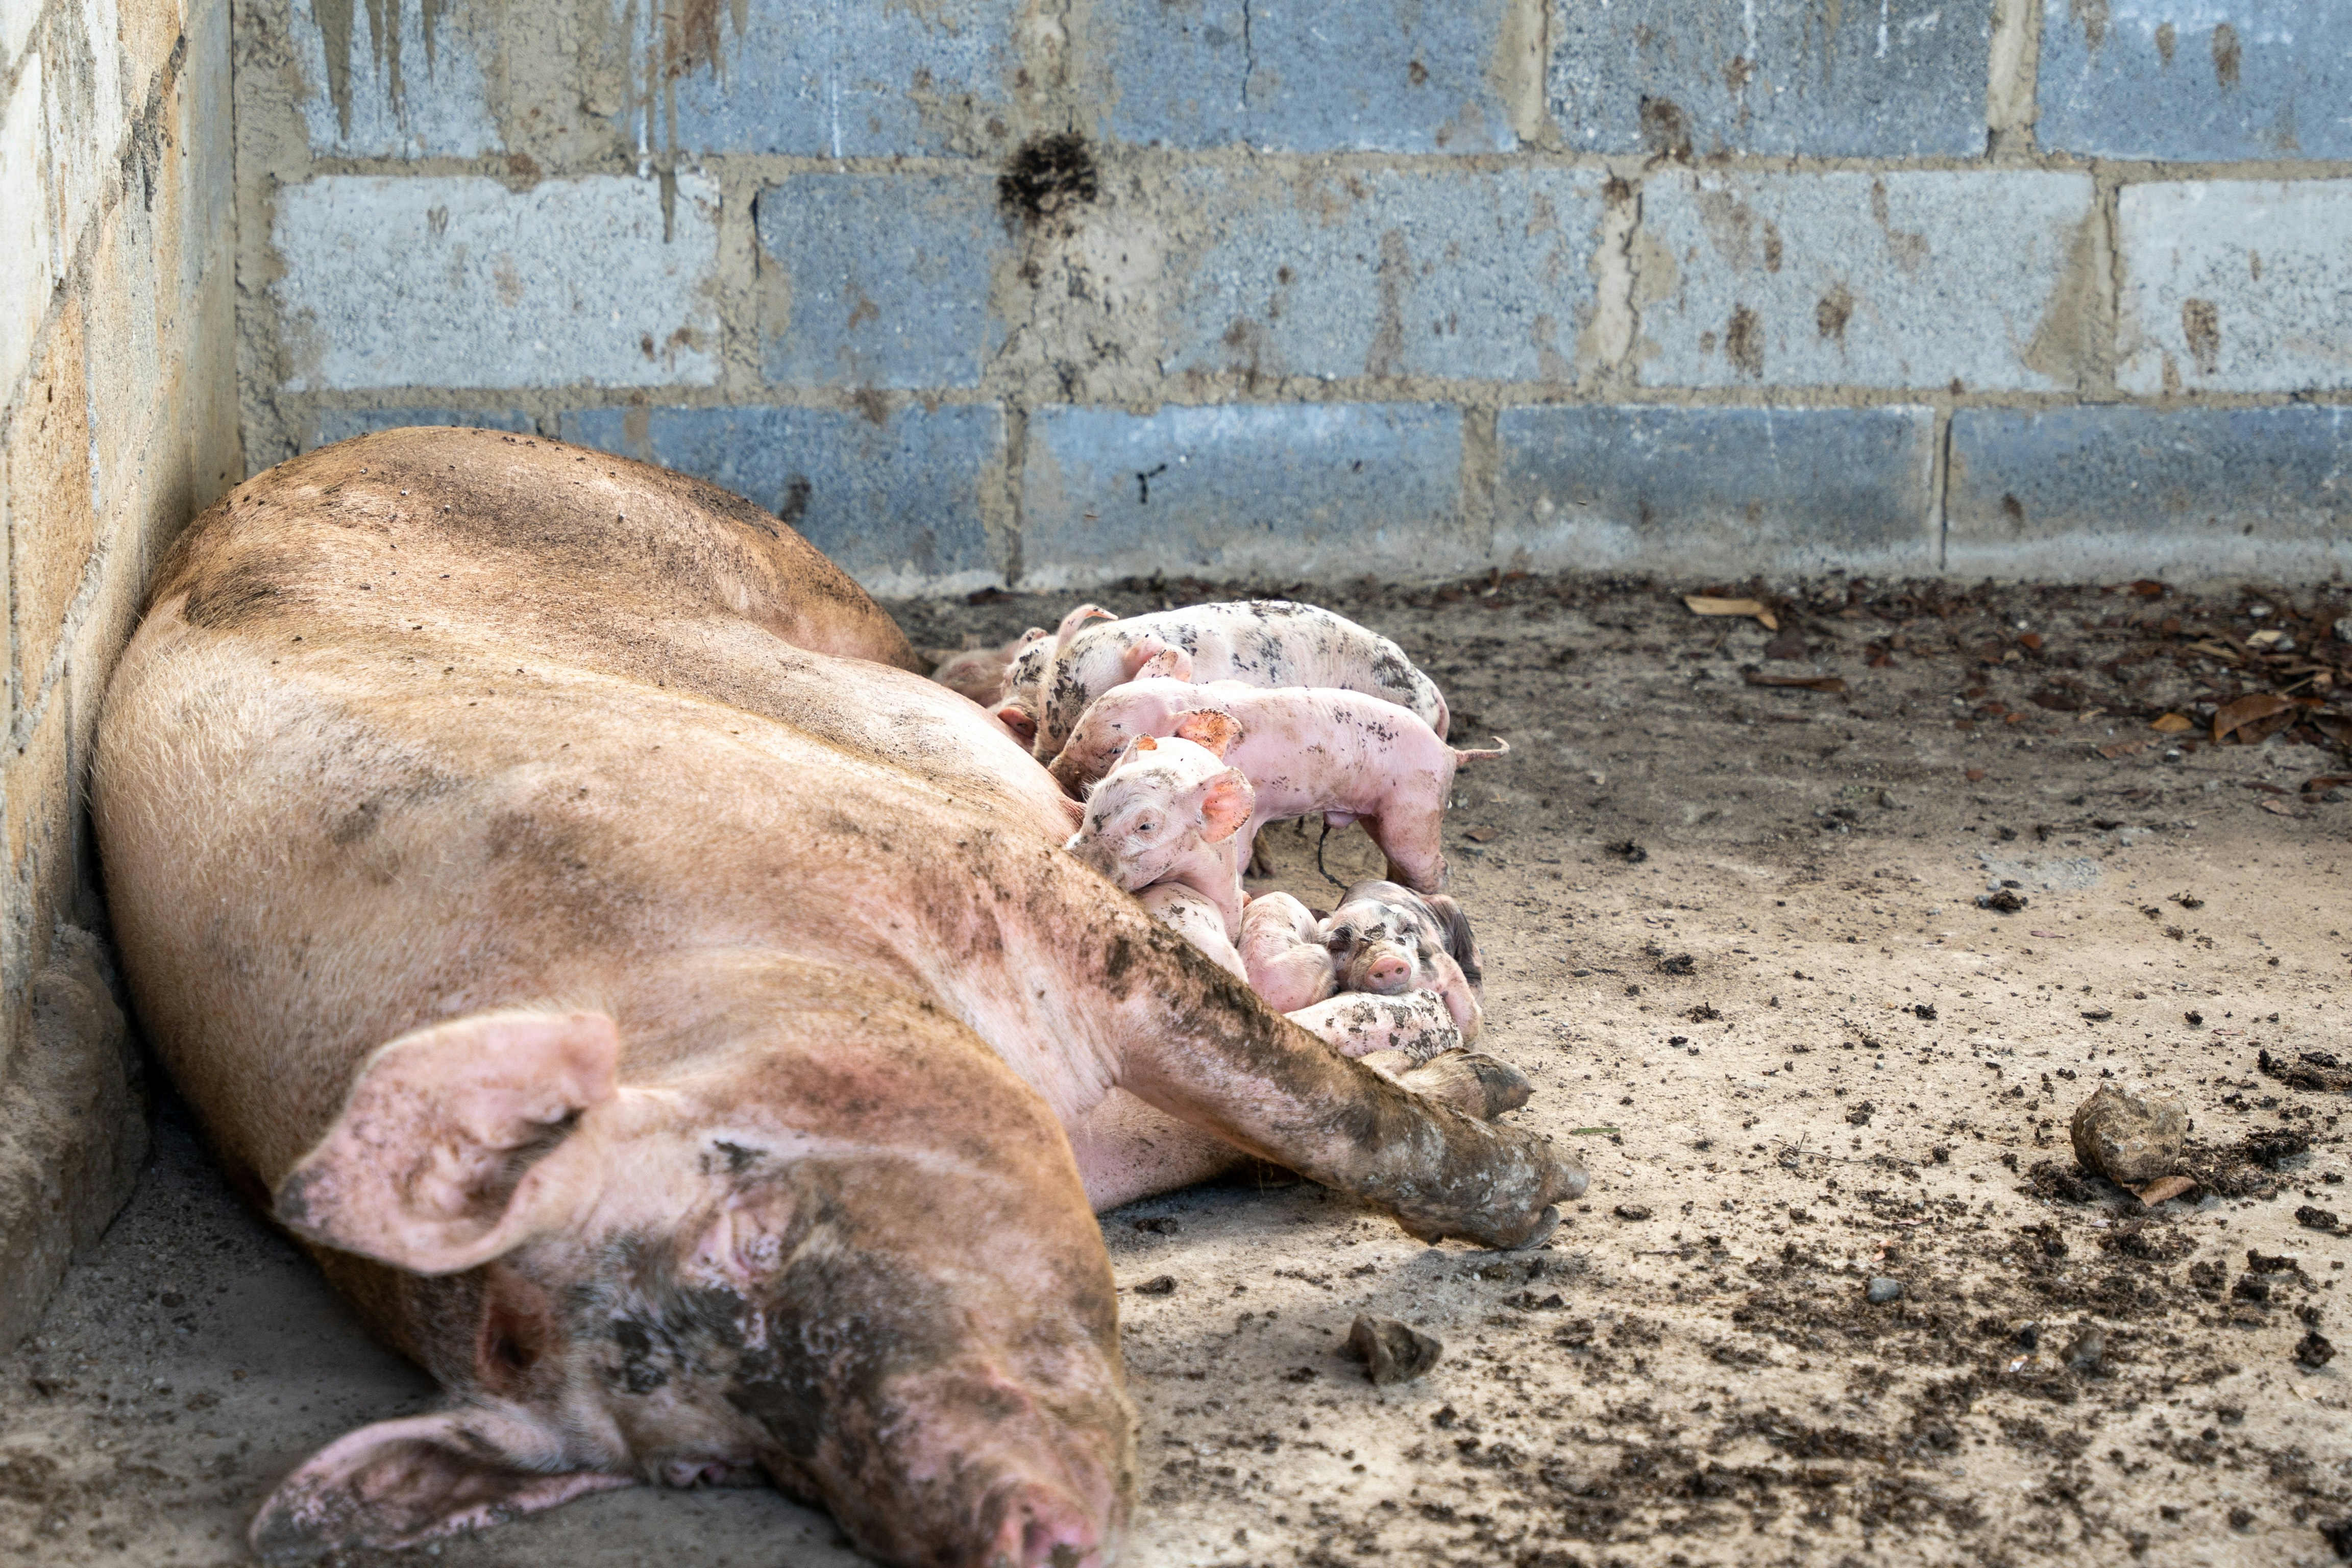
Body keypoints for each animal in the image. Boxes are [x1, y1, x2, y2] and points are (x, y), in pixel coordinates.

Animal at [1045, 652, 1508, 892]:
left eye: (1114, 746)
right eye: (1084, 720)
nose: (1054, 771)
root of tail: (1451, 753)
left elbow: (1242, 850)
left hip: (1416, 813)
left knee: (1438, 866)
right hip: (1381, 816)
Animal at [1321, 880, 1486, 1040]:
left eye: (1405, 929)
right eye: (1337, 947)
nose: (1386, 961)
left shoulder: (1442, 961)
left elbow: (1469, 1020)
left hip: (1451, 908)